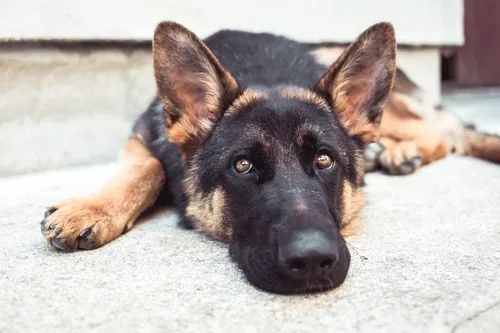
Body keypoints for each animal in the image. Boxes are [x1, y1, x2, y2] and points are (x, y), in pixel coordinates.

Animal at [41, 21, 500, 294]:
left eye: (324, 160)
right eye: (242, 166)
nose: (312, 260)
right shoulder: (142, 135)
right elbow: (147, 167)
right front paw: (93, 208)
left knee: (442, 134)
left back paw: (401, 151)